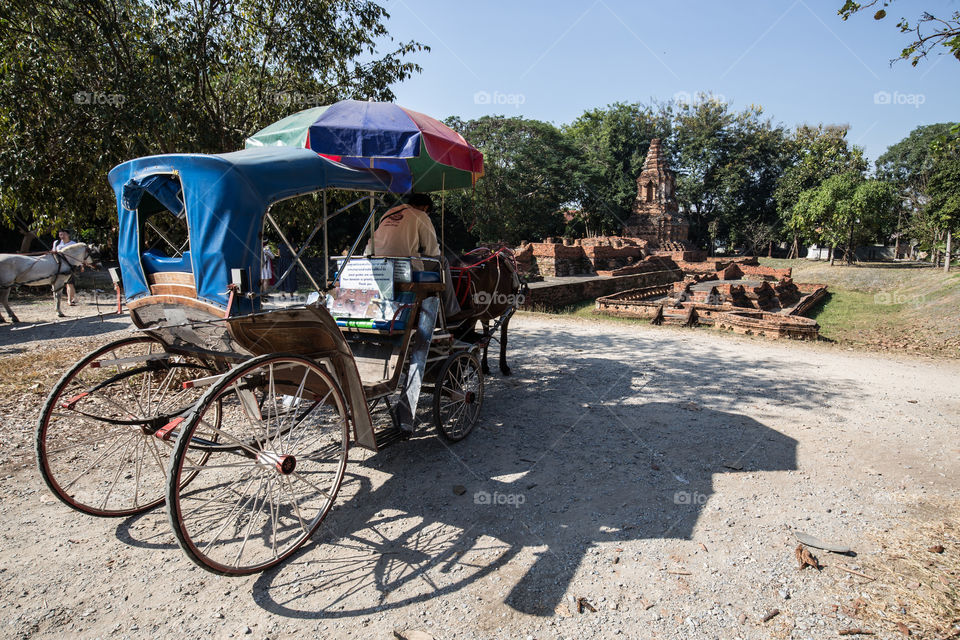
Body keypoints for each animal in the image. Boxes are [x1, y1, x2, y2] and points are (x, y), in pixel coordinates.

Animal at [448, 245, 524, 376]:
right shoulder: (507, 313)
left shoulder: (484, 317)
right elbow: (503, 339)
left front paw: (484, 367)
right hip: (472, 316)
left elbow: (486, 340)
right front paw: (504, 367)